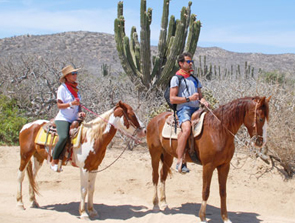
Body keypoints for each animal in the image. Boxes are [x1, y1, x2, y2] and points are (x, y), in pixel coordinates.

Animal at [16, 101, 146, 220]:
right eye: (132, 114)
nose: (144, 131)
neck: (92, 137)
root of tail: (26, 126)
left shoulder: (94, 168)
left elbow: (91, 189)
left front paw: (92, 211)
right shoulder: (84, 168)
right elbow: (83, 190)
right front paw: (83, 213)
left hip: (38, 158)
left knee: (32, 177)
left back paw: (33, 202)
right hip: (25, 155)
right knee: (21, 176)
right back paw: (20, 204)